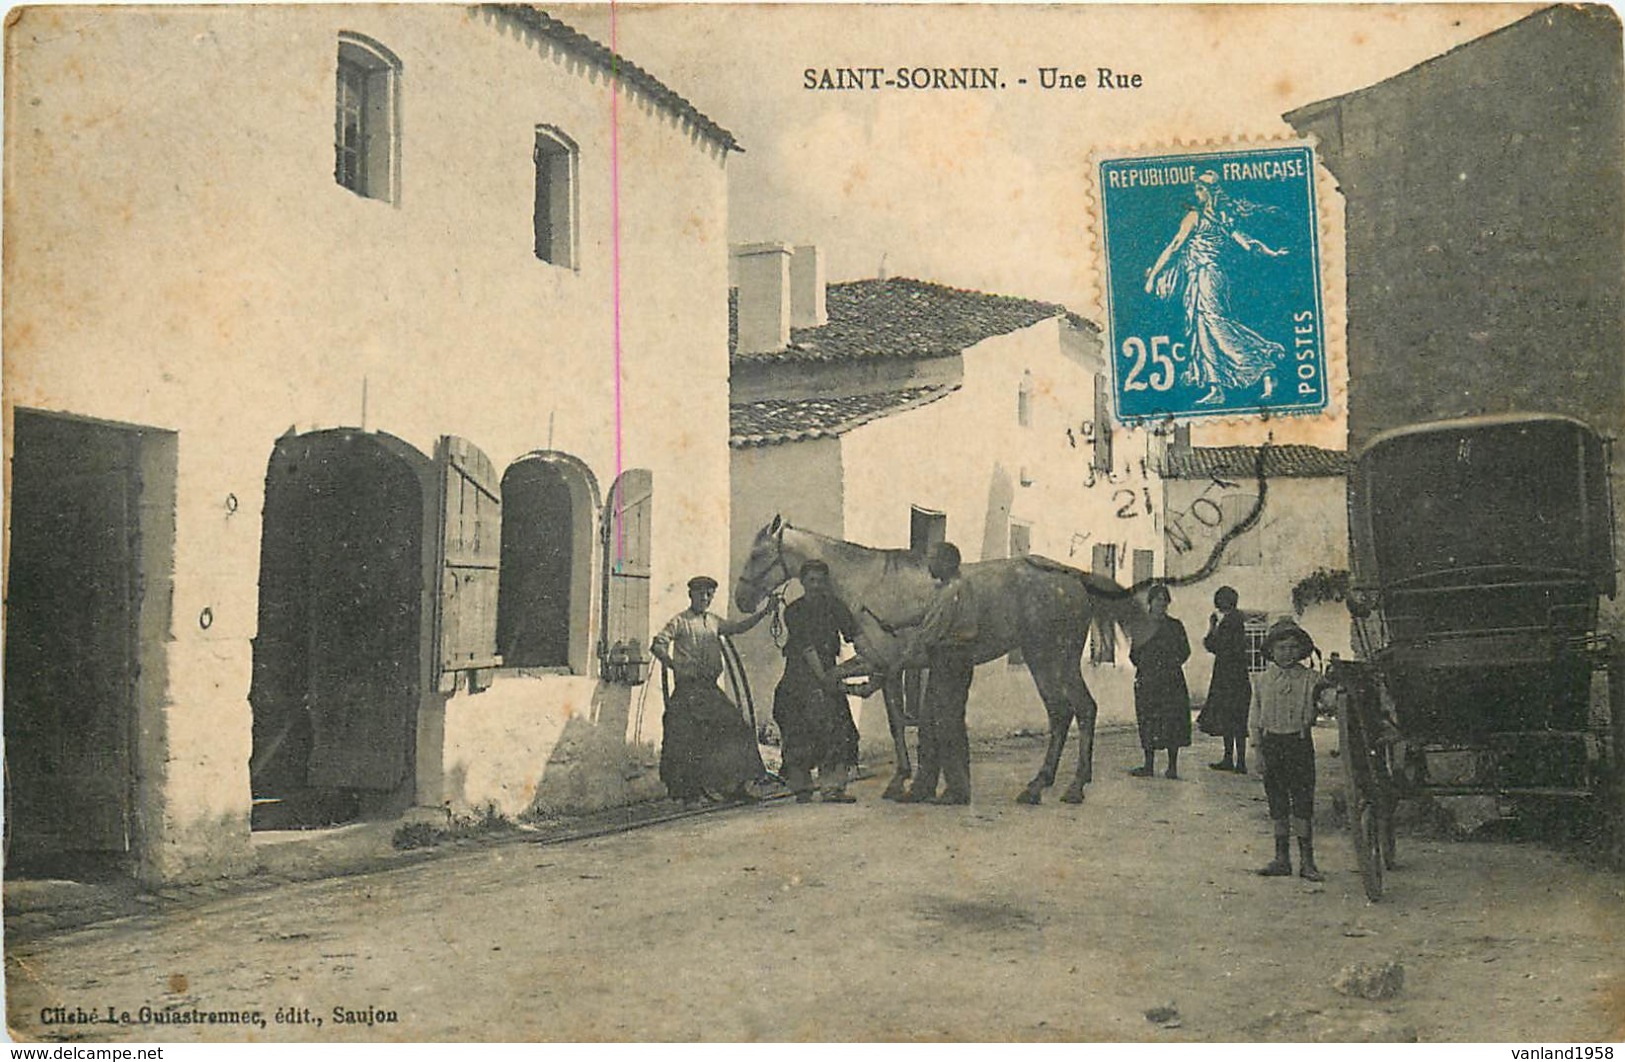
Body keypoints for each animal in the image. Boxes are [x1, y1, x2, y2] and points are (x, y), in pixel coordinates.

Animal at [731, 519, 1150, 808]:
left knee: (1067, 711)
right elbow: (907, 716)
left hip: (1045, 658)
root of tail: (1074, 578)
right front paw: (915, 781)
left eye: (757, 554)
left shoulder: (889, 664)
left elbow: (898, 723)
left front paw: (899, 780)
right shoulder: (891, 664)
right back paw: (1055, 784)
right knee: (1079, 711)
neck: (867, 584)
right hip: (1059, 661)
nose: (742, 600)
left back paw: (1056, 787)